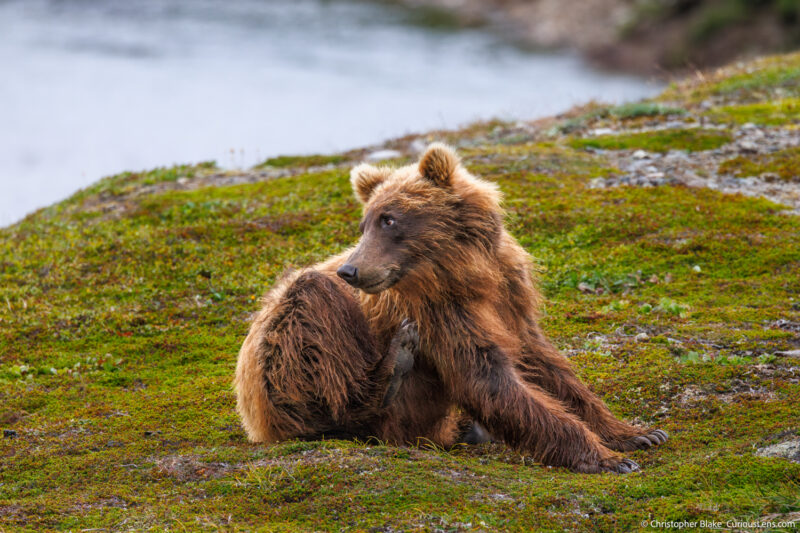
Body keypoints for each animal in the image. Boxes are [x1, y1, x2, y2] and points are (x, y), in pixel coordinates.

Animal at [233, 143, 668, 472]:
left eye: (388, 219)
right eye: (365, 222)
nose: (350, 270)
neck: (467, 271)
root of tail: (255, 423)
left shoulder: (509, 297)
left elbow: (544, 364)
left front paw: (636, 433)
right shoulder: (436, 309)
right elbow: (485, 375)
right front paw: (605, 458)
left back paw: (469, 429)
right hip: (276, 365)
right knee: (313, 305)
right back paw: (391, 369)